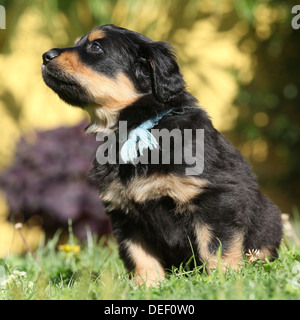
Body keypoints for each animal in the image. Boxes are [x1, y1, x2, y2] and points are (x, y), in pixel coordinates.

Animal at [42, 24, 284, 284]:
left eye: (96, 47)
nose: (45, 55)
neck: (138, 127)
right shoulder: (125, 213)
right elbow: (139, 256)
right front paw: (148, 285)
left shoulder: (215, 199)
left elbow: (216, 246)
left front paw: (223, 281)